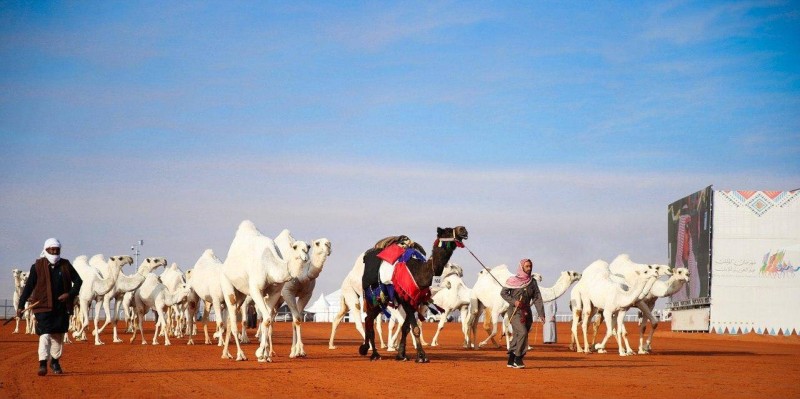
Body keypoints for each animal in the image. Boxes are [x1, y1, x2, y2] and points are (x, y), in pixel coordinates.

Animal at [220, 220, 308, 364]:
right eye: (295, 247)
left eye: (308, 246)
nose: (305, 256)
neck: (269, 264)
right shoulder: (255, 289)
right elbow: (266, 318)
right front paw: (260, 354)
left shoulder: (275, 292)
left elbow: (268, 320)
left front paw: (265, 355)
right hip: (227, 285)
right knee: (232, 320)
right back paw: (240, 355)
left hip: (241, 294)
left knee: (229, 318)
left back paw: (226, 354)